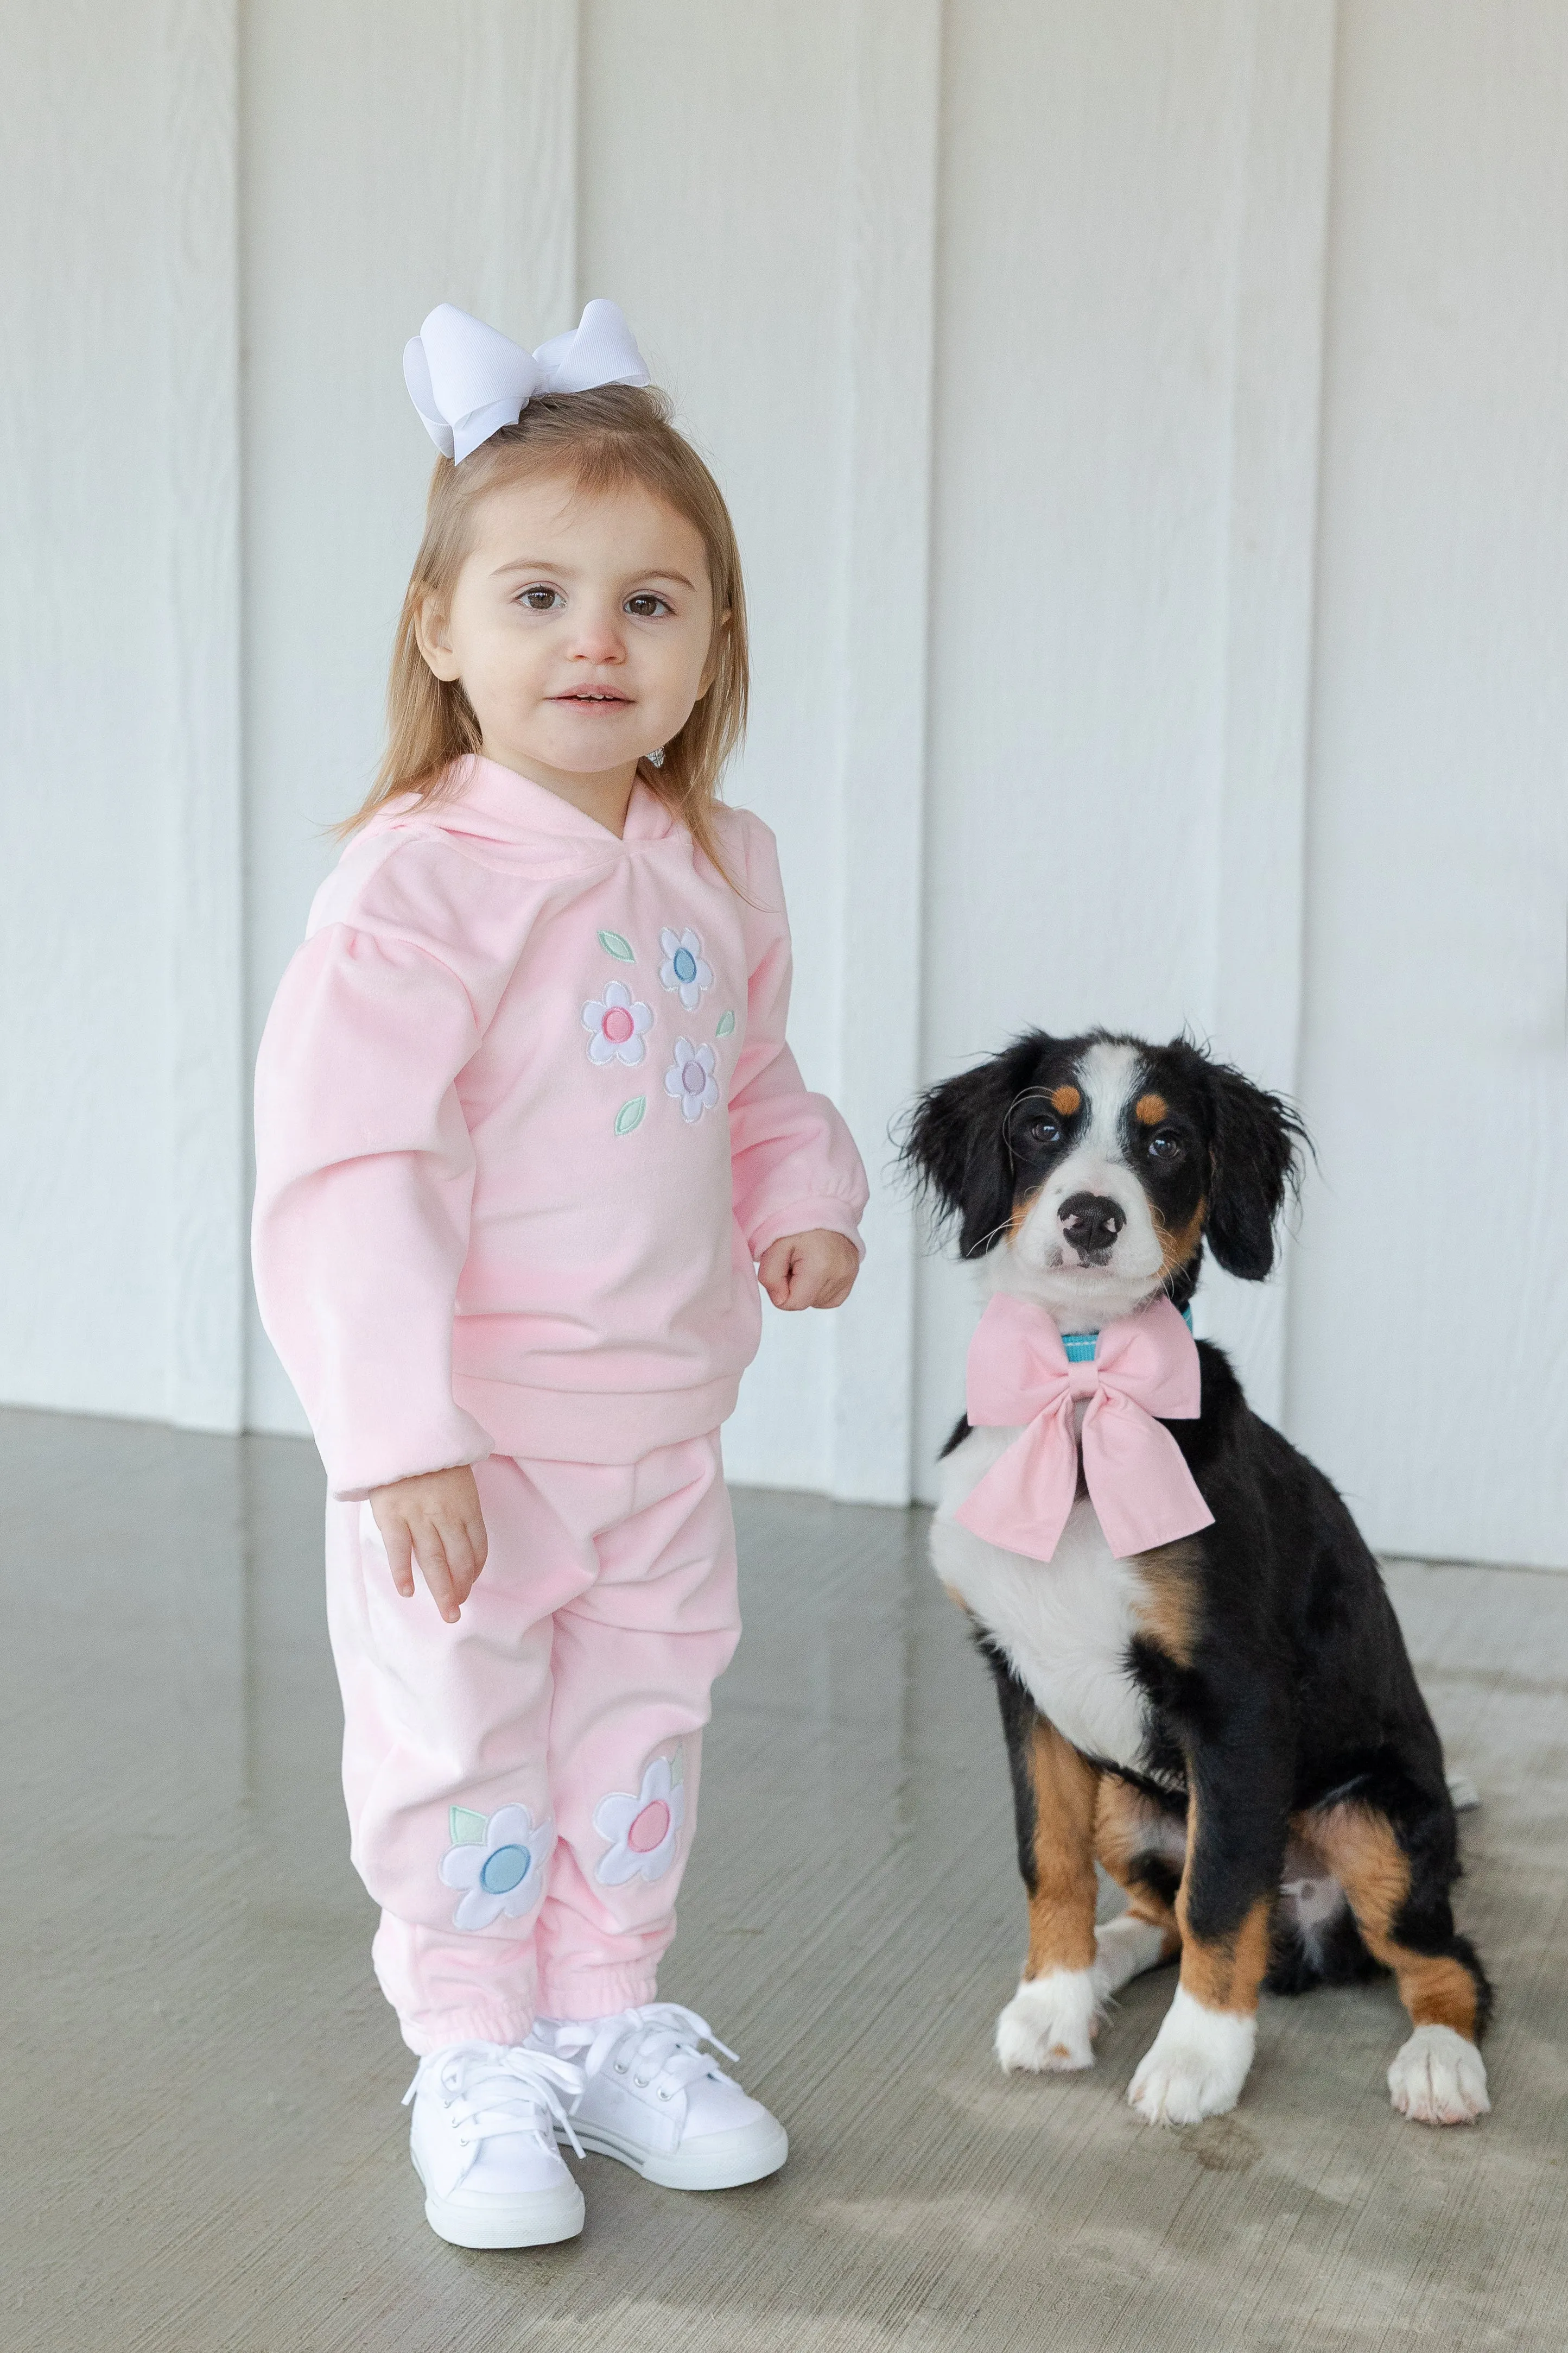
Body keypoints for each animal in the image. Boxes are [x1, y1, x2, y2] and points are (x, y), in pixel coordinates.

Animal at [903, 1030, 1495, 2136]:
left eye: (1166, 1140)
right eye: (1039, 1125)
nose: (1090, 1217)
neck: (1081, 1392)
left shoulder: (1235, 1699)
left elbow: (1221, 1893)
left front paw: (1196, 2059)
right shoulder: (1025, 1687)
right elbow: (1047, 1856)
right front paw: (1051, 2006)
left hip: (1375, 1820)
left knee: (1443, 1959)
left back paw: (1439, 2063)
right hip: (1124, 1799)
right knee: (1152, 1911)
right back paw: (1103, 1965)